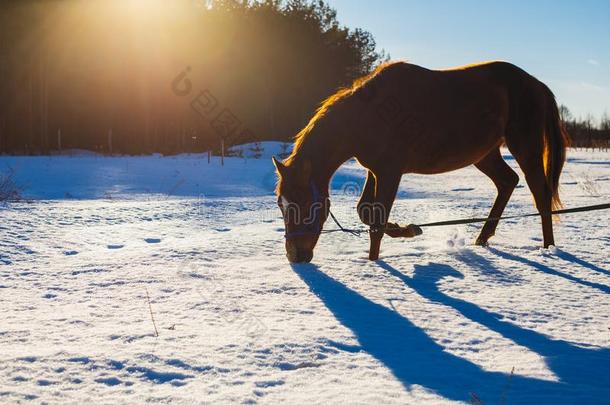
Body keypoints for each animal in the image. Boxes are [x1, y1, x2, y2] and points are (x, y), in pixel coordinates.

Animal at [274, 60, 568, 262]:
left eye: (305, 204)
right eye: (281, 204)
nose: (295, 256)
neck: (365, 117)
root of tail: (536, 85)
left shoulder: (391, 172)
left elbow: (377, 222)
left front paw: (374, 262)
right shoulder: (375, 170)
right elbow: (366, 211)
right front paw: (408, 230)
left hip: (525, 147)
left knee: (540, 193)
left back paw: (548, 248)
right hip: (485, 155)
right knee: (508, 182)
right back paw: (482, 238)